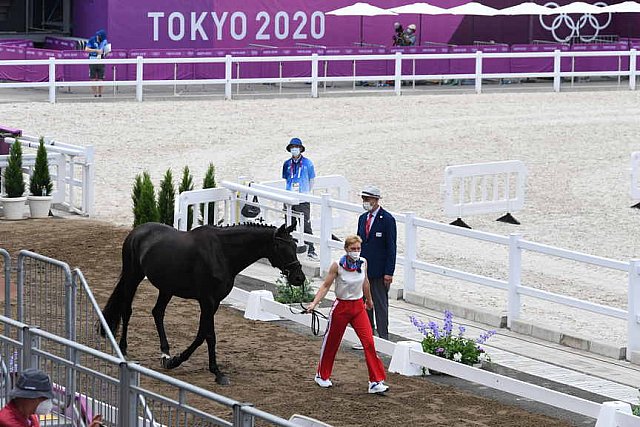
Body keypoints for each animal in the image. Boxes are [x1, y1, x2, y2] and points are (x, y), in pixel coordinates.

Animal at [101, 222, 306, 386]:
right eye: (280, 246)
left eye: (294, 245)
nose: (299, 278)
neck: (222, 253)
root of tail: (137, 231)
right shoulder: (207, 301)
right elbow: (207, 335)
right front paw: (209, 370)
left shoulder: (214, 303)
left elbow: (204, 333)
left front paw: (179, 361)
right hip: (133, 277)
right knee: (127, 310)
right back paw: (124, 349)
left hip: (166, 288)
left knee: (157, 312)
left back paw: (165, 354)